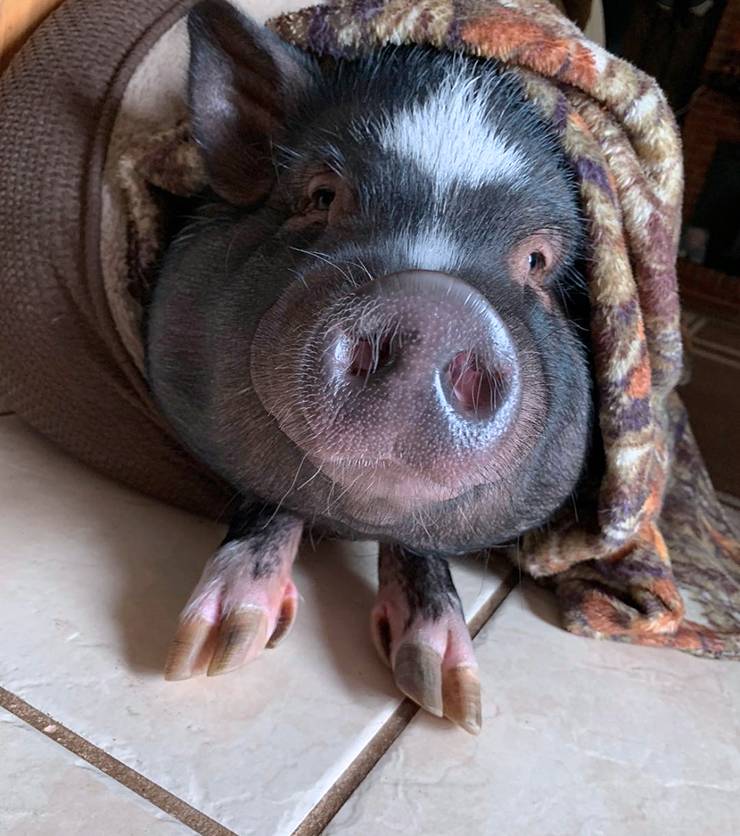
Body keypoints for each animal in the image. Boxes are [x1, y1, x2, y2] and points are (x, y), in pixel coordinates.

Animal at [146, 0, 596, 732]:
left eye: (537, 261)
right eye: (322, 196)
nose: (434, 311)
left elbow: (421, 537)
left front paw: (450, 700)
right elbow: (271, 495)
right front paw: (211, 653)